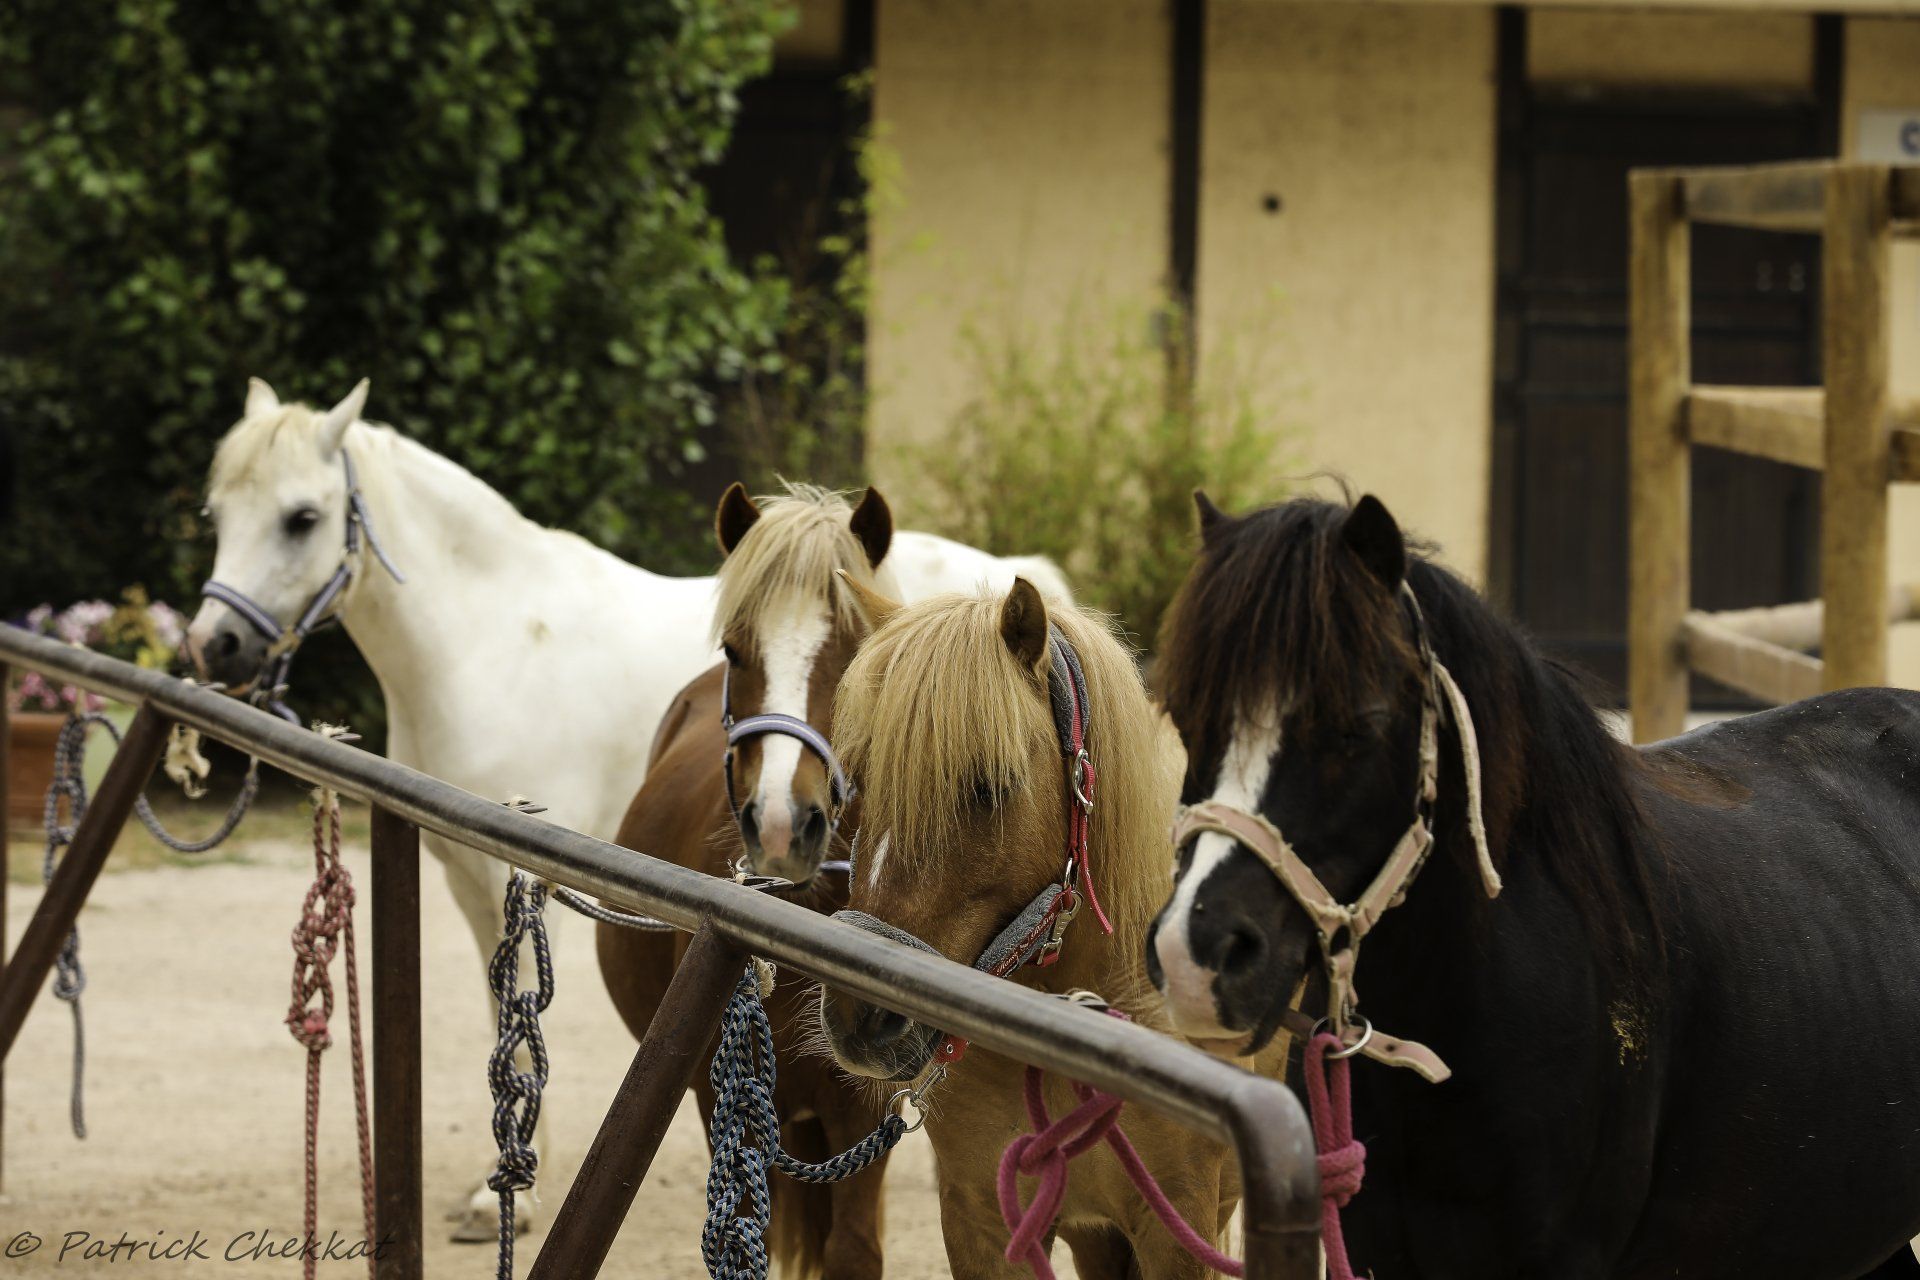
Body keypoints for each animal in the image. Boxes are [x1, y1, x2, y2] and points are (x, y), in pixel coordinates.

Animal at [598, 483, 1071, 1279]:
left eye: (850, 656)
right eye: (735, 649)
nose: (783, 825)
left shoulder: (860, 1108)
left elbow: (852, 1251)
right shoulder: (720, 1098)